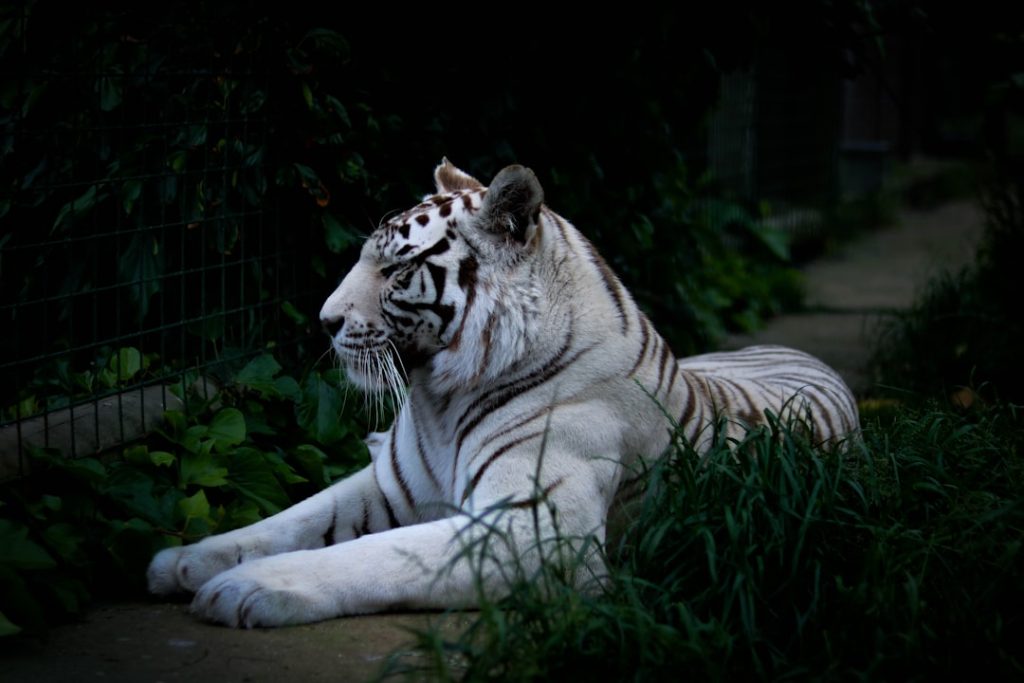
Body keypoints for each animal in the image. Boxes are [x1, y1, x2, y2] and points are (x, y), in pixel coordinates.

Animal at [147, 160, 859, 627]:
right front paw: (184, 561)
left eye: (397, 268)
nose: (323, 321)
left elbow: (371, 554)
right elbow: (291, 518)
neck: (439, 398)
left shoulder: (533, 530)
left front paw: (246, 588)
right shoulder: (391, 486)